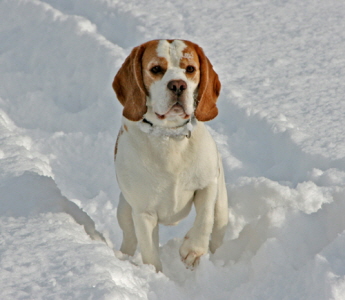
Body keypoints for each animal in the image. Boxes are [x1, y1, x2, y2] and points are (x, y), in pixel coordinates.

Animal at [111, 39, 227, 272]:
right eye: (156, 69)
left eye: (190, 69)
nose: (178, 85)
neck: (169, 137)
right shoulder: (144, 212)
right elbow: (150, 254)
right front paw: (156, 276)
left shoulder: (207, 184)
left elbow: (204, 219)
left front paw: (192, 250)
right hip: (125, 211)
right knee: (130, 238)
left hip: (222, 208)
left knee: (217, 225)